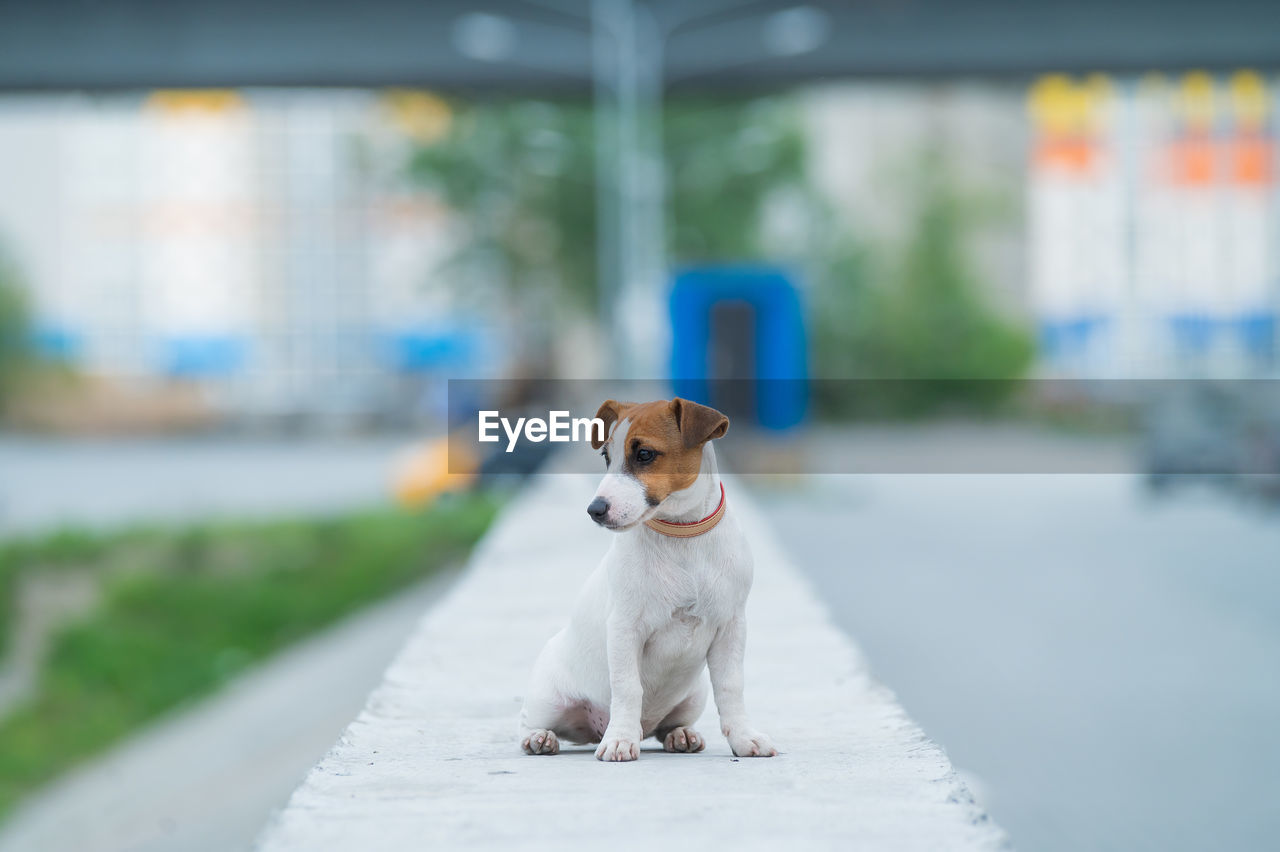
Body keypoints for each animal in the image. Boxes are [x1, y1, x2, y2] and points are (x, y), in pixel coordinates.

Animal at [517, 394, 773, 757]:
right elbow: (628, 687)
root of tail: (593, 729)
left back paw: (680, 734)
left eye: (644, 454)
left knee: (668, 725)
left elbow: (730, 687)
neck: (682, 534)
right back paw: (541, 738)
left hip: (692, 696)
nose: (595, 510)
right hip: (548, 700)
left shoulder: (731, 626)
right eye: (606, 456)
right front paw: (620, 739)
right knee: (531, 721)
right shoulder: (625, 628)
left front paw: (744, 736)